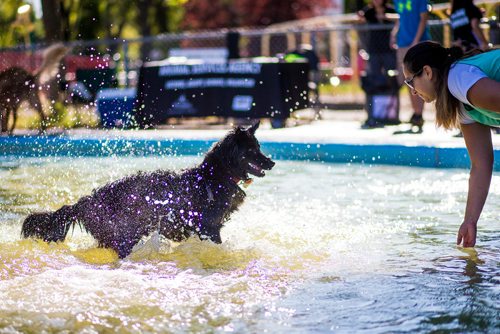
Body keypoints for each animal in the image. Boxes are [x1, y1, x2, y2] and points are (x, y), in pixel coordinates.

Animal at [21, 121, 276, 258]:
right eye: (252, 150)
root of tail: (84, 201)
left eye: (259, 147)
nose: (272, 163)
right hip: (124, 235)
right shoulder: (208, 228)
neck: (215, 175)